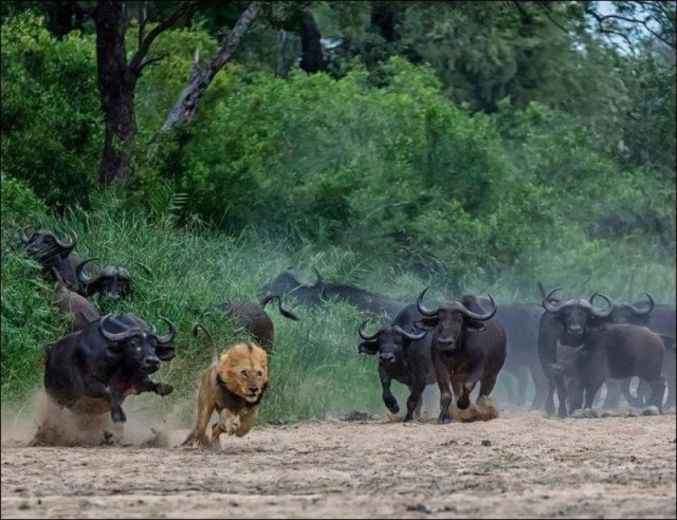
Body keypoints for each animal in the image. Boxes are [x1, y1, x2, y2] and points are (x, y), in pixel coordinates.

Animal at [414, 286, 504, 424]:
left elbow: (467, 387)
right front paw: (444, 417)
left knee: (483, 395)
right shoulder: (440, 368)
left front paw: (463, 405)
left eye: (459, 320)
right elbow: (446, 394)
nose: (445, 342)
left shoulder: (478, 368)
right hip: (456, 378)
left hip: (492, 375)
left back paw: (482, 411)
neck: (457, 353)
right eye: (439, 320)